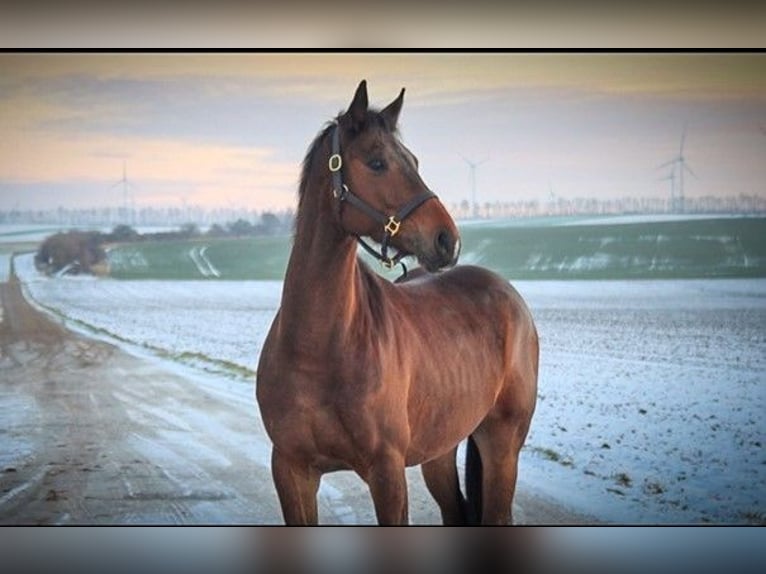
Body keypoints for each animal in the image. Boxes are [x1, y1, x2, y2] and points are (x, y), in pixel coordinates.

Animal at [258, 81, 540, 528]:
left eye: (414, 160)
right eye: (377, 162)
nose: (447, 239)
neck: (316, 348)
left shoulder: (387, 474)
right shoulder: (291, 469)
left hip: (502, 445)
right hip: (440, 450)